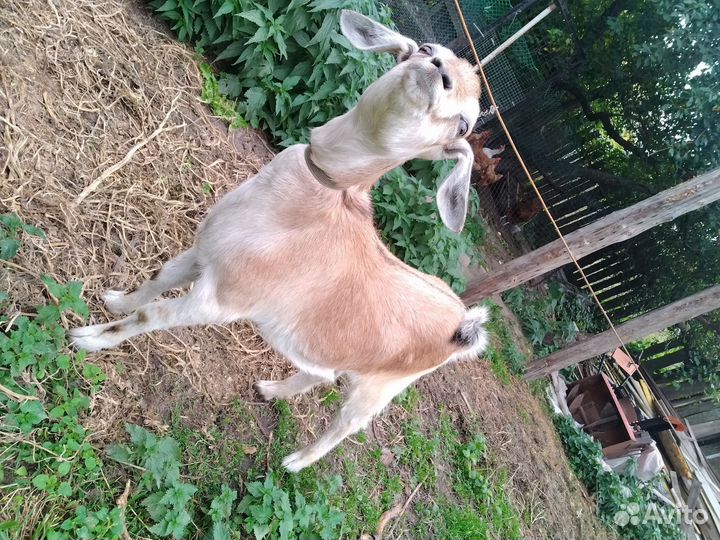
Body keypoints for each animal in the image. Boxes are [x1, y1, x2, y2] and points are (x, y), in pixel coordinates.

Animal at [70, 11, 489, 472]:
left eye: (465, 123)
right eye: (428, 49)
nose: (439, 73)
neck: (310, 204)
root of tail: (463, 323)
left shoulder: (222, 301)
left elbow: (151, 316)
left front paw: (89, 338)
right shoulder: (207, 251)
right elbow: (157, 279)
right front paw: (114, 301)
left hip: (380, 386)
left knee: (348, 424)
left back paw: (296, 462)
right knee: (321, 373)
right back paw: (270, 391)